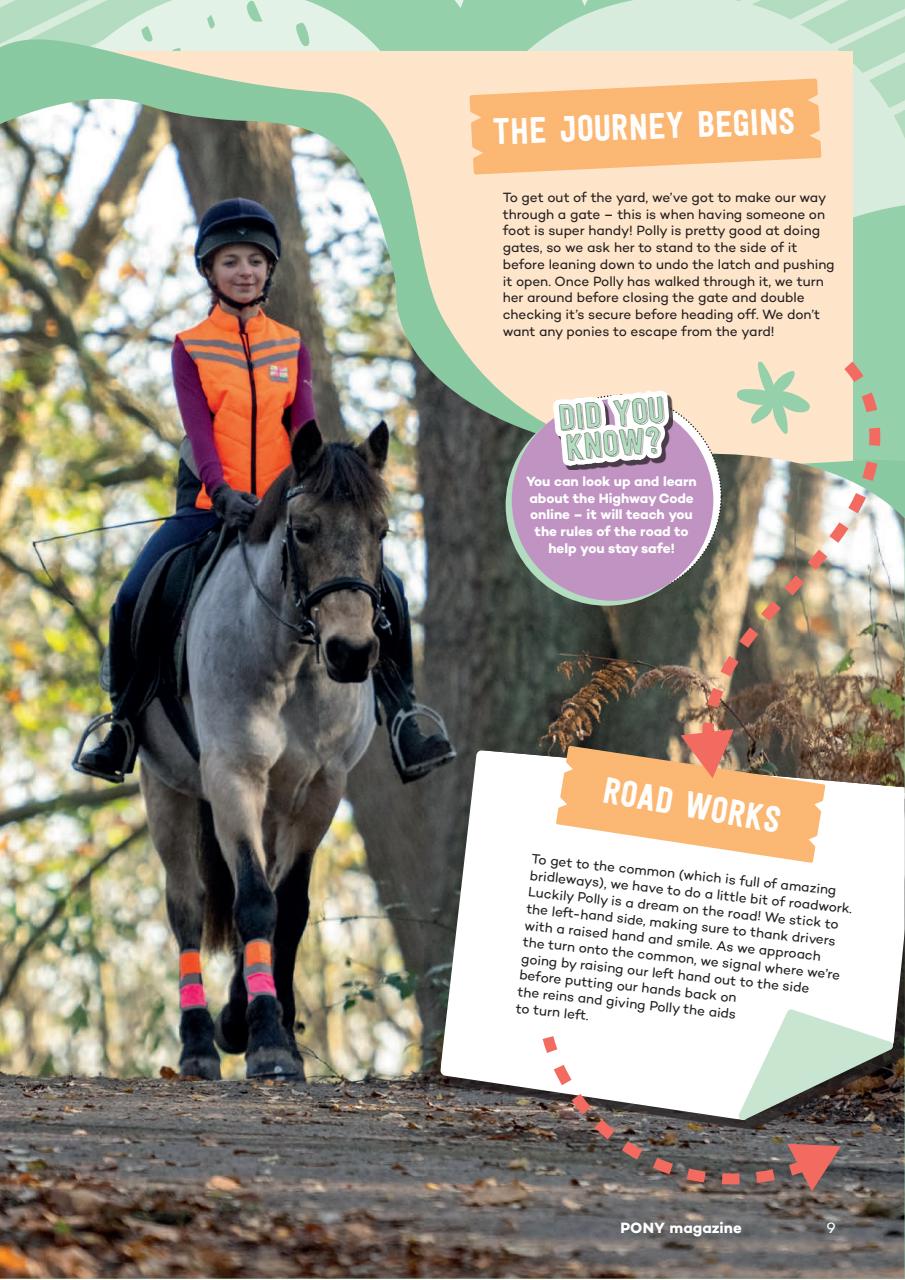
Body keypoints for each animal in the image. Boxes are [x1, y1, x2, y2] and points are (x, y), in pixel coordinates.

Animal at [138, 419, 389, 1080]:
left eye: (381, 531)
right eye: (304, 531)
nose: (352, 652)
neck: (293, 660)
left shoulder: (321, 790)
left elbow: (289, 905)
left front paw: (262, 1028)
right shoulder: (234, 776)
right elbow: (252, 900)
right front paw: (268, 1043)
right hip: (167, 789)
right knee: (188, 907)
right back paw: (199, 1046)